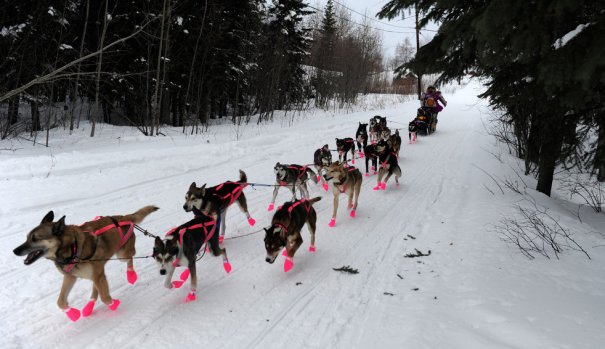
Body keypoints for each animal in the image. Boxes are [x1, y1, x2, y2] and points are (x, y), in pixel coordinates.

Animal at [13, 204, 158, 320]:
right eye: (27, 237)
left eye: (35, 238)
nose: (15, 250)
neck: (71, 247)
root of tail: (123, 217)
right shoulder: (70, 276)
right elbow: (60, 301)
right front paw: (72, 313)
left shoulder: (96, 275)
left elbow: (105, 298)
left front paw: (113, 304)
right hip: (98, 271)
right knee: (95, 289)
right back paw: (89, 307)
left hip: (120, 256)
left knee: (130, 259)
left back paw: (131, 274)